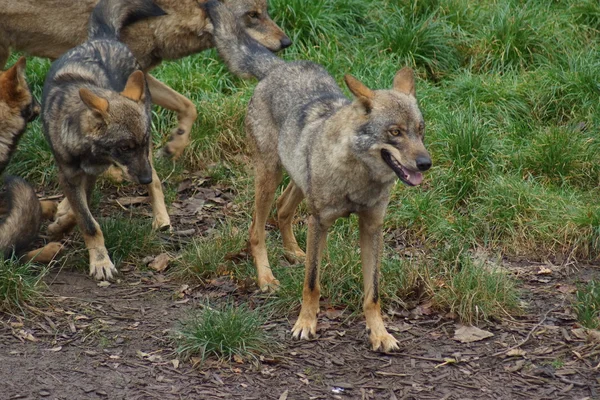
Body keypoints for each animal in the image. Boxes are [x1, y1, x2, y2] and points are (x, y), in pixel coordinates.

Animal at [0, 0, 290, 159]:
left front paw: (175, 145)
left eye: (265, 11)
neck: (162, 14)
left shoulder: (141, 75)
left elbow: (189, 106)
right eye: (252, 15)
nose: (287, 41)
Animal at [41, 0, 166, 282]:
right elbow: (87, 221)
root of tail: (103, 37)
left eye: (140, 143)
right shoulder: (70, 174)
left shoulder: (93, 174)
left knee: (158, 181)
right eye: (124, 148)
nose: (143, 179)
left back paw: (162, 218)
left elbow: (82, 217)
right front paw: (99, 261)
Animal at [202, 0, 432, 350]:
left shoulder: (371, 227)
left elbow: (373, 293)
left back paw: (294, 252)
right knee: (256, 230)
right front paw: (305, 324)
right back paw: (266, 278)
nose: (425, 163)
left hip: (298, 179)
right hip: (270, 177)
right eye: (395, 132)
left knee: (283, 210)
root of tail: (278, 67)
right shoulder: (320, 221)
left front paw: (379, 334)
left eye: (420, 130)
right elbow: (312, 283)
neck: (358, 178)